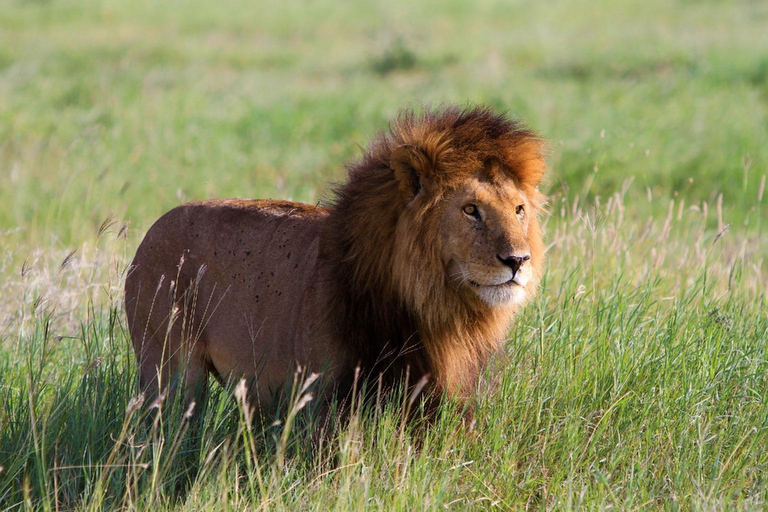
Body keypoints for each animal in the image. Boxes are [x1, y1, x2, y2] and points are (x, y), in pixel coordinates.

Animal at [124, 105, 544, 420]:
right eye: (471, 209)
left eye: (519, 210)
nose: (518, 260)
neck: (435, 311)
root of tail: (149, 233)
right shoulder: (325, 398)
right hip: (169, 372)